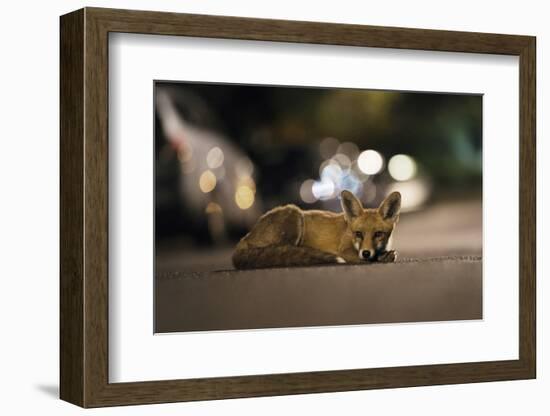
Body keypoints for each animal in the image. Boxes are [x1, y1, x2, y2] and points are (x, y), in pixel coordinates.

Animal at [233, 189, 402, 268]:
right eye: (358, 234)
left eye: (378, 234)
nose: (366, 252)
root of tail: (244, 238)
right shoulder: (345, 251)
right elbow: (367, 259)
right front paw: (381, 258)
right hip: (294, 214)